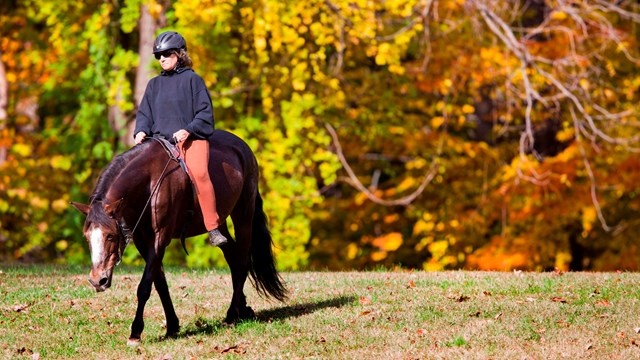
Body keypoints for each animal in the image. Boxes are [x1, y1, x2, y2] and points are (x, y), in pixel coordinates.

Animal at [70, 131, 288, 344]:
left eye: (110, 236)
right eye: (87, 237)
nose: (98, 281)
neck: (150, 180)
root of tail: (243, 148)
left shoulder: (161, 237)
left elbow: (144, 286)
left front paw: (135, 332)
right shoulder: (142, 240)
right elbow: (159, 283)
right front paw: (172, 326)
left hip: (243, 213)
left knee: (242, 262)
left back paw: (231, 314)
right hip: (220, 223)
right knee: (233, 259)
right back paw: (242, 310)